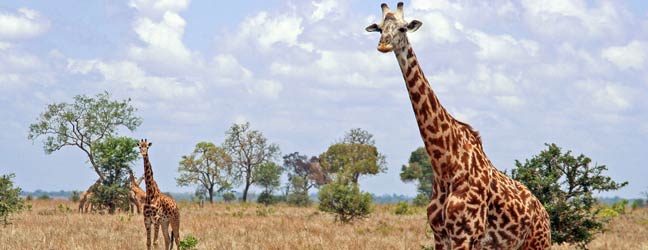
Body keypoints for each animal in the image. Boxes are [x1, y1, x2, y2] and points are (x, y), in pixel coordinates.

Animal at [368, 2, 548, 249]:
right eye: (379, 28)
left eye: (403, 28)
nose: (383, 44)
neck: (446, 166)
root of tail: (544, 213)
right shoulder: (440, 235)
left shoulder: (466, 234)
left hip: (538, 242)